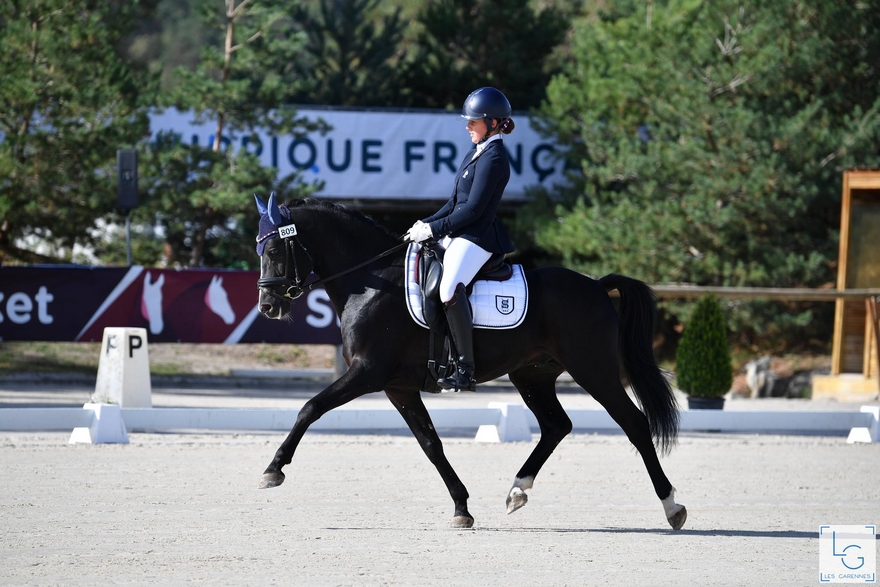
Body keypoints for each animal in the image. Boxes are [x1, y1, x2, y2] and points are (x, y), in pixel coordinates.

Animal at [253, 194, 688, 532]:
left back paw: (673, 507)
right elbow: (431, 444)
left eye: (274, 252)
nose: (268, 307)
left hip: (594, 371)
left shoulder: (367, 373)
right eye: (260, 252)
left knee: (634, 424)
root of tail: (596, 286)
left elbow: (310, 408)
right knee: (556, 426)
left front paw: (273, 470)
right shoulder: (398, 387)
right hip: (532, 375)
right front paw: (462, 508)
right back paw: (517, 491)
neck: (371, 281)